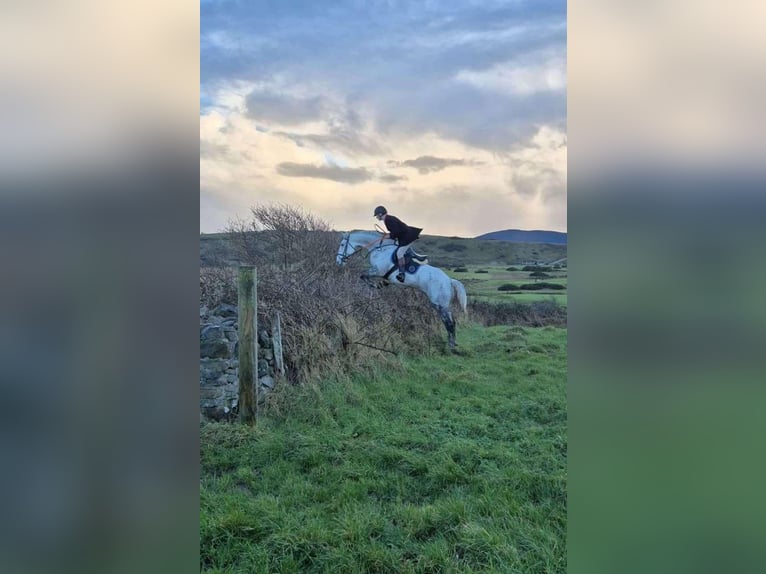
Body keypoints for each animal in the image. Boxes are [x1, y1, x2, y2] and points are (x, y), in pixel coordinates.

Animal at [336, 230, 468, 352]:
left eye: (342, 244)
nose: (338, 261)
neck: (380, 250)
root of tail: (449, 280)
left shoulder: (377, 270)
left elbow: (363, 276)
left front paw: (374, 285)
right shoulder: (381, 274)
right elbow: (367, 277)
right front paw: (379, 284)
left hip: (440, 304)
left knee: (449, 323)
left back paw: (451, 348)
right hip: (443, 305)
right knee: (451, 322)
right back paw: (452, 344)